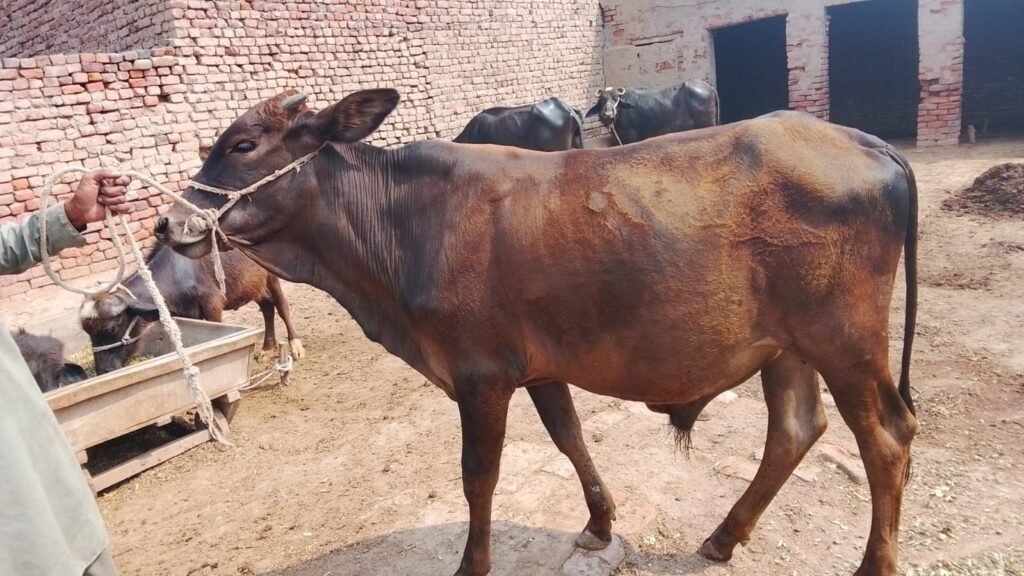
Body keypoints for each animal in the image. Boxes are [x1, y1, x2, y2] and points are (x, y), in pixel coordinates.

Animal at [79, 243, 303, 375]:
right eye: (88, 333)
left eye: (111, 328)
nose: (104, 370)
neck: (178, 273)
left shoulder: (213, 305)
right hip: (252, 284)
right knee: (267, 307)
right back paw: (267, 348)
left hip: (271, 274)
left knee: (281, 305)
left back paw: (295, 345)